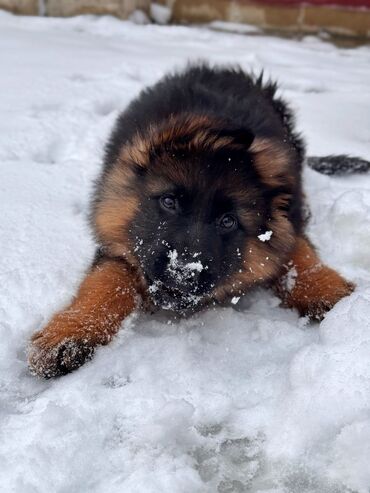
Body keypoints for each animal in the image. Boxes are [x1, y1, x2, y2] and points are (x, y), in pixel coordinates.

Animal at [29, 63, 368, 374]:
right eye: (169, 202)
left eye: (228, 222)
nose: (183, 273)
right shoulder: (117, 236)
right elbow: (107, 279)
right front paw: (71, 332)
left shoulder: (288, 217)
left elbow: (299, 252)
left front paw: (333, 295)